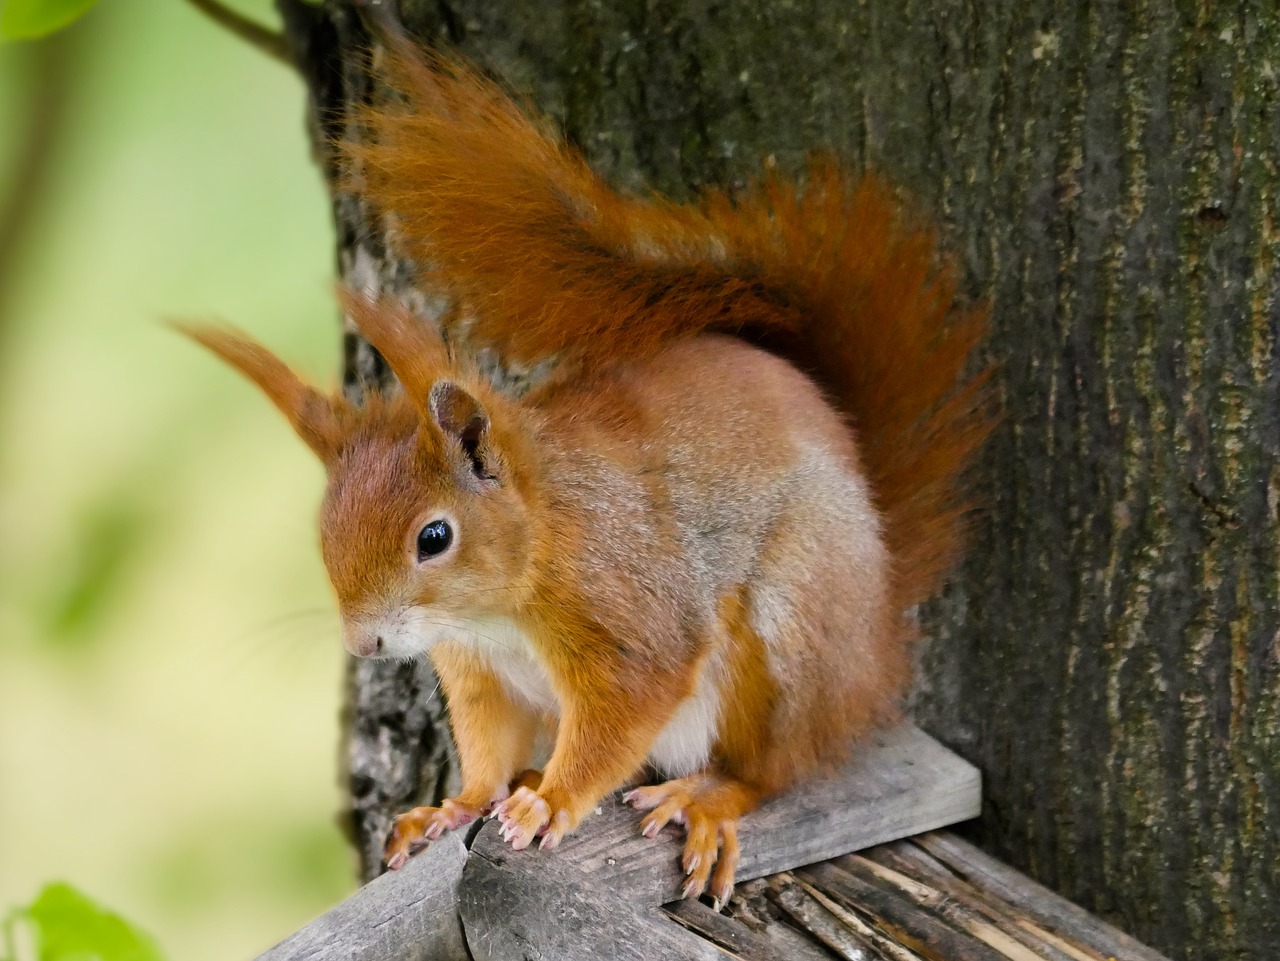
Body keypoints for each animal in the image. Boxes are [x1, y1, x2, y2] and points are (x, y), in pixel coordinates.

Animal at [183, 50, 988, 911]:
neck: (511, 586)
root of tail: (875, 646)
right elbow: (486, 744)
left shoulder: (629, 618)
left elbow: (619, 717)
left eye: (434, 536)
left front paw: (554, 802)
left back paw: (703, 797)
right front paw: (458, 804)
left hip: (789, 638)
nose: (364, 643)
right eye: (324, 530)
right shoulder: (481, 672)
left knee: (771, 768)